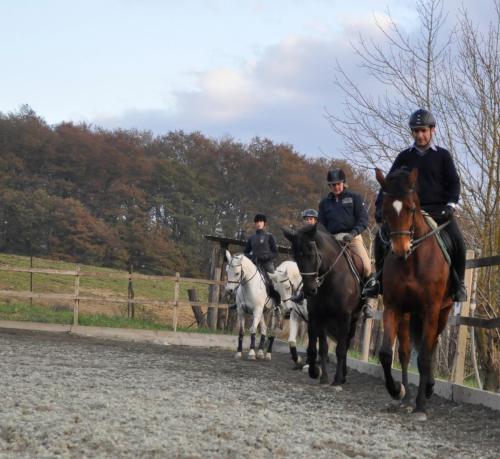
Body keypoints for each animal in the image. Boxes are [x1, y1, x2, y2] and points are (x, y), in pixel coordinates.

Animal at [283, 224, 363, 387]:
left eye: (313, 254)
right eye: (297, 257)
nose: (310, 290)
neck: (331, 281)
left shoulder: (344, 317)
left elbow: (340, 349)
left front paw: (336, 380)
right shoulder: (318, 317)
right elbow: (318, 348)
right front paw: (318, 374)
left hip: (353, 320)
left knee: (345, 345)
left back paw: (342, 376)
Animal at [375, 167, 454, 419]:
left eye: (410, 208)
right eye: (385, 210)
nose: (401, 250)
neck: (412, 262)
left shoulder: (431, 310)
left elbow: (425, 358)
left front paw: (421, 406)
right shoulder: (393, 307)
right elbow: (387, 354)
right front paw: (397, 391)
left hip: (443, 313)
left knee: (432, 346)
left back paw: (427, 390)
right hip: (408, 314)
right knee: (405, 352)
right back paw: (407, 397)